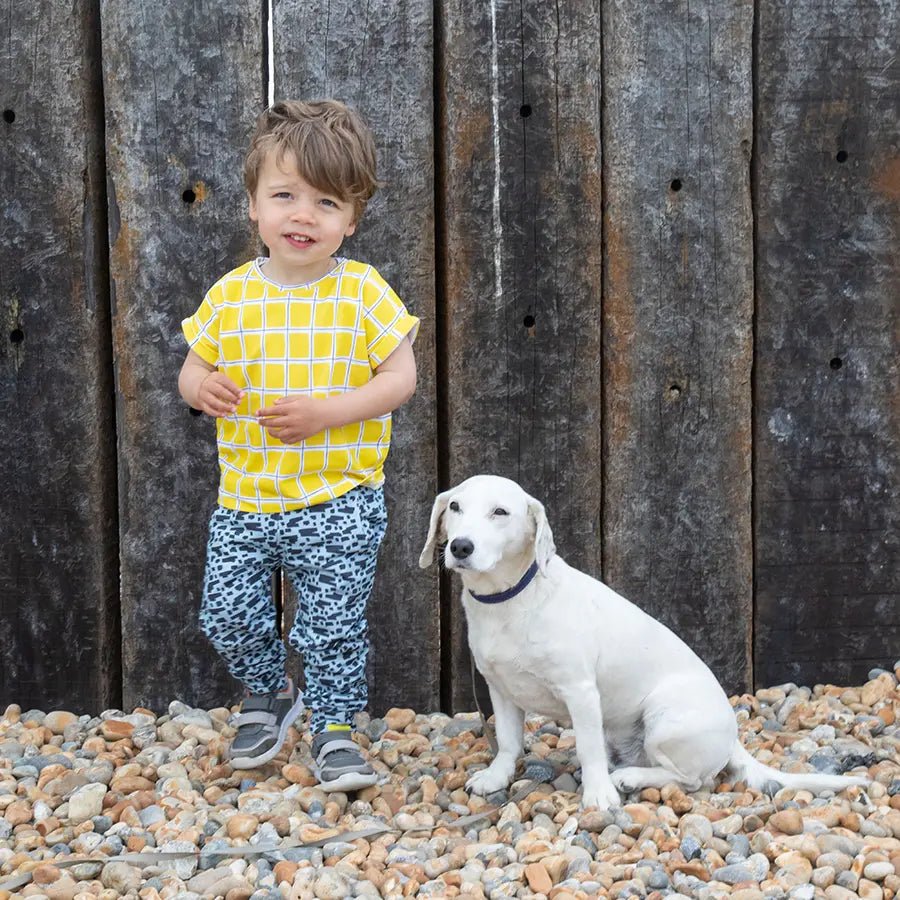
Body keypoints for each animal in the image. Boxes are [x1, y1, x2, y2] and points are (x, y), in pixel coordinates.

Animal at [418, 478, 868, 808]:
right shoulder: (501, 689)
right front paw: (495, 777)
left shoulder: (581, 692)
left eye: (500, 512)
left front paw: (598, 795)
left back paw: (630, 778)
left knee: (692, 780)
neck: (509, 601)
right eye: (455, 507)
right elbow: (509, 743)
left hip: (664, 718)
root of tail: (733, 739)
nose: (461, 546)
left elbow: (588, 750)